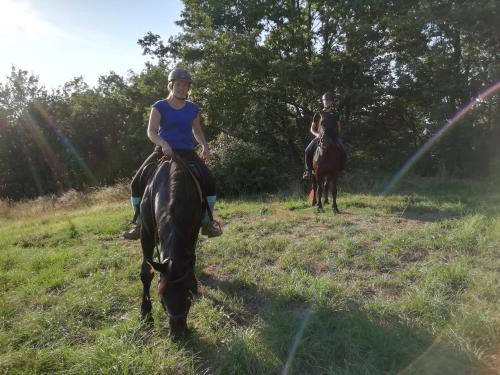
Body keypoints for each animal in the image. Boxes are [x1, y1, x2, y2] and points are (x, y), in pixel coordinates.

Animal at [138, 153, 202, 340]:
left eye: (189, 296)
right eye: (162, 298)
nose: (177, 335)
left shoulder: (193, 232)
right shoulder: (146, 232)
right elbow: (146, 272)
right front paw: (145, 313)